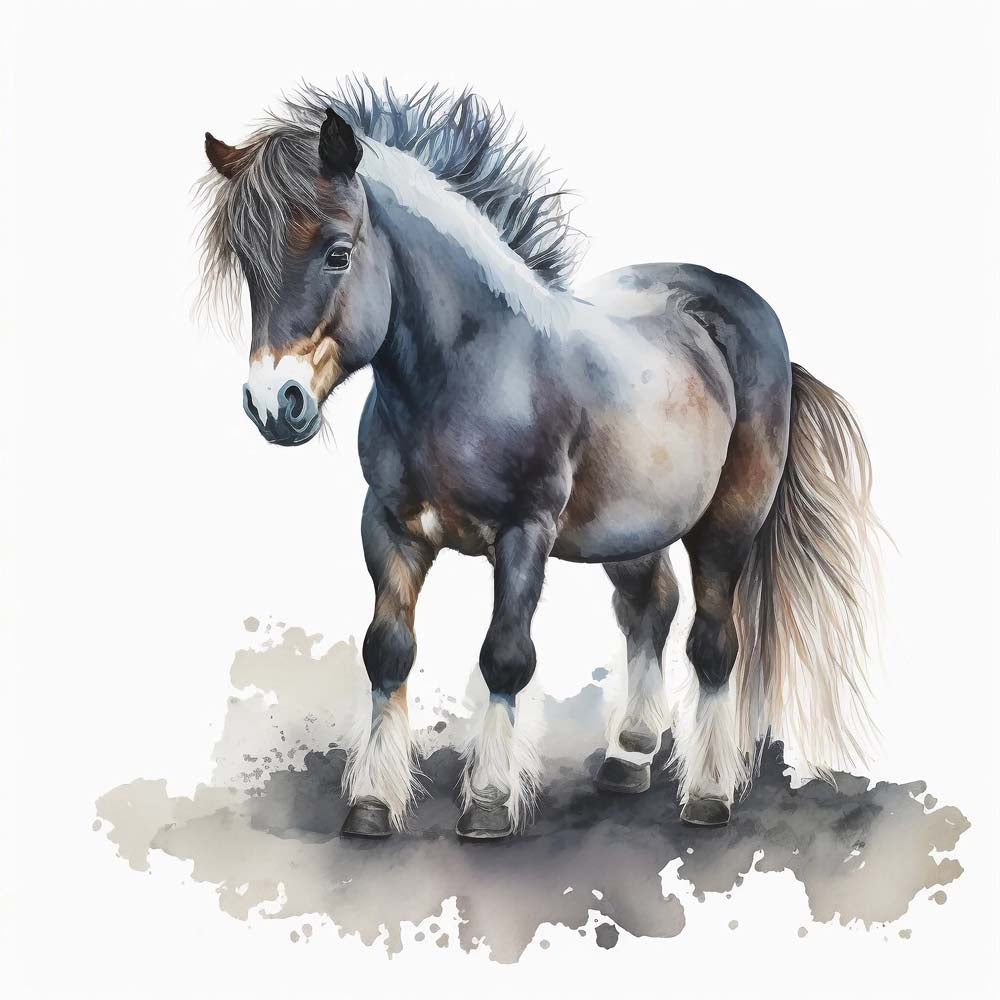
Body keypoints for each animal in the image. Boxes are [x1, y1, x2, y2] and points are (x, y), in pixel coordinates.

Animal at [199, 80, 881, 839]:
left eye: (338, 253)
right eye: (249, 266)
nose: (273, 402)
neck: (470, 371)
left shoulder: (526, 535)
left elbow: (505, 656)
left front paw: (490, 801)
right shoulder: (390, 529)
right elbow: (387, 651)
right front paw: (372, 803)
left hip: (728, 525)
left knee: (712, 642)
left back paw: (708, 793)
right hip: (630, 530)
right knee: (651, 607)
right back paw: (629, 755)